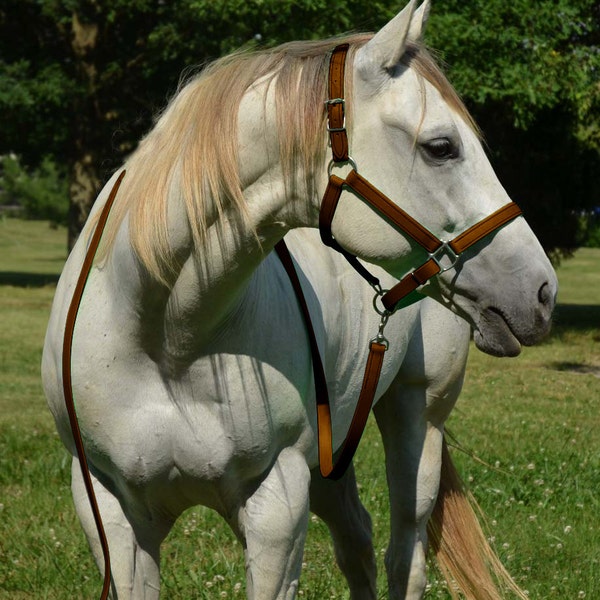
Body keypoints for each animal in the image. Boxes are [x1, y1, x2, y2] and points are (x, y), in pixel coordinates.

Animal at [42, 2, 556, 596]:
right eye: (441, 147)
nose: (542, 292)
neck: (164, 334)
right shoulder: (109, 511)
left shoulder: (276, 504)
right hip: (331, 457)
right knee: (356, 542)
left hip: (417, 415)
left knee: (404, 553)